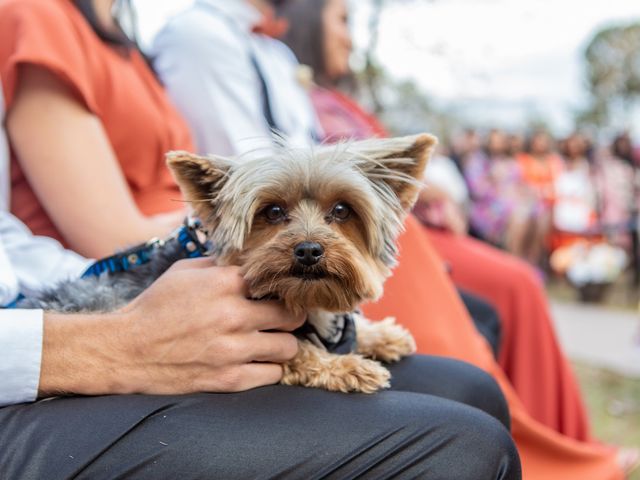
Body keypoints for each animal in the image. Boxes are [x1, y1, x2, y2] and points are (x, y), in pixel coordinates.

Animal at [22, 134, 438, 394]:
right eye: (273, 212)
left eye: (341, 210)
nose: (308, 250)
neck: (301, 300)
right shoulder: (258, 343)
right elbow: (297, 351)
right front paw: (348, 367)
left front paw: (381, 335)